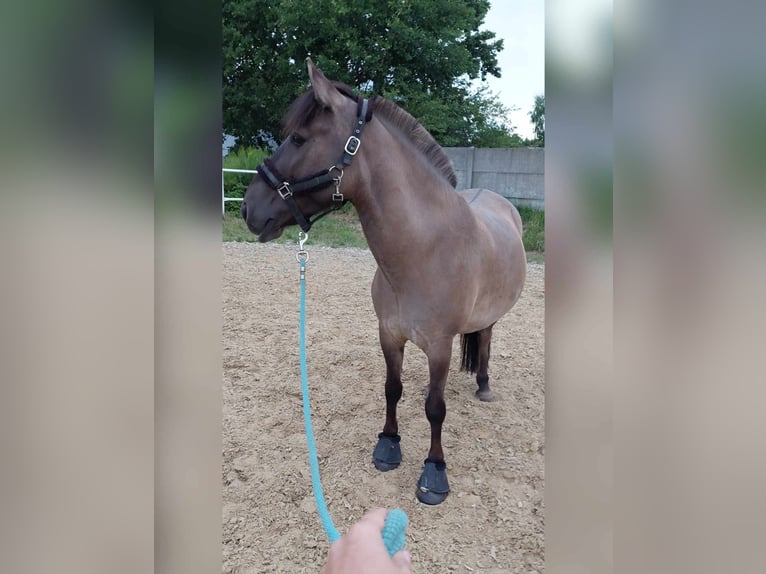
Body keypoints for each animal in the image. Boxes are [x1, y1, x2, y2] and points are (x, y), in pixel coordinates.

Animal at [242, 58, 528, 506]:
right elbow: (392, 389)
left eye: (299, 138)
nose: (247, 208)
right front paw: (388, 444)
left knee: (485, 338)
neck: (422, 254)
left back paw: (483, 385)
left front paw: (434, 471)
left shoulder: (439, 346)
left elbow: (435, 408)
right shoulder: (388, 335)